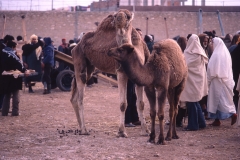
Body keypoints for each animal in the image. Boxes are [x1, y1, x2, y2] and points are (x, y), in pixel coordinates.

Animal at [70, 9, 150, 137]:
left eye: (128, 18)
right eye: (115, 16)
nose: (119, 19)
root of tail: (75, 46)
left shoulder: (140, 76)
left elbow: (141, 104)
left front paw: (145, 131)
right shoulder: (121, 72)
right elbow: (123, 104)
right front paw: (121, 132)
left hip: (90, 68)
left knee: (74, 96)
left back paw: (80, 127)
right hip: (79, 63)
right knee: (80, 97)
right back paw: (84, 130)